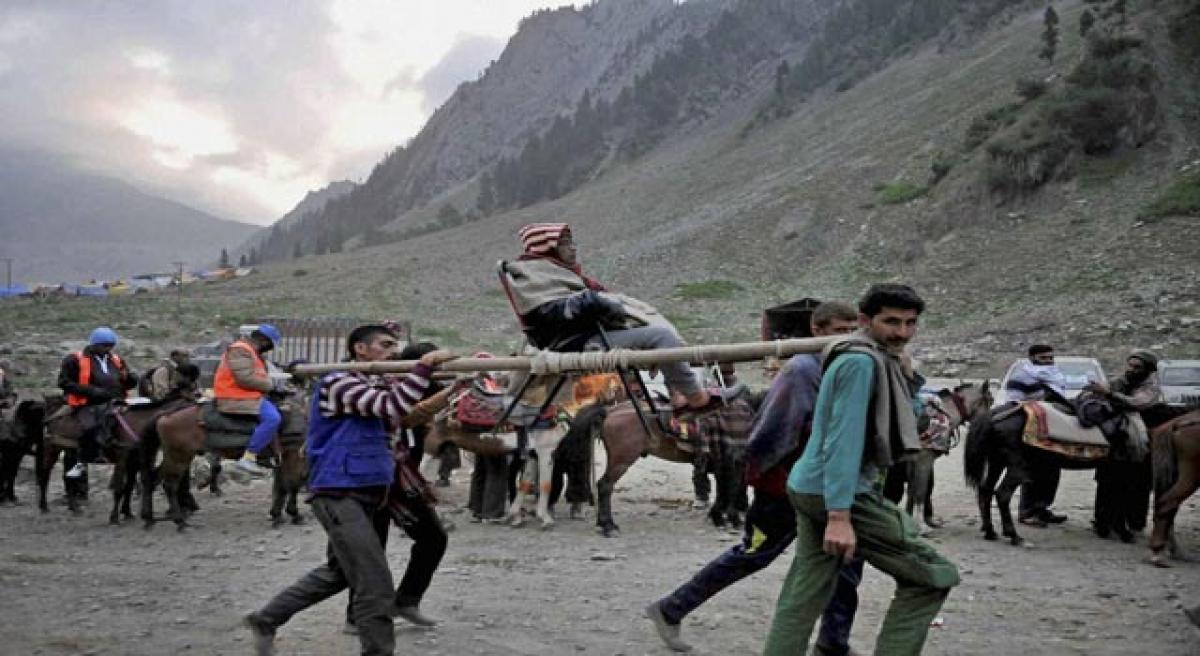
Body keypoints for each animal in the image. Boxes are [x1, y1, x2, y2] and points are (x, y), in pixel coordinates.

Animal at [137, 398, 307, 532]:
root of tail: (165, 415)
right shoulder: (293, 456)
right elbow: (293, 484)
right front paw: (294, 514)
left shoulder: (284, 459)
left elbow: (282, 486)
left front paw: (277, 514)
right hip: (179, 457)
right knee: (169, 486)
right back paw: (180, 522)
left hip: (174, 457)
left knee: (152, 479)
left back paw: (148, 519)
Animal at [595, 395, 753, 539]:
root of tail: (611, 411)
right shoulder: (733, 463)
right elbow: (732, 490)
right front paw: (733, 519)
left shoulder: (724, 464)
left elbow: (724, 491)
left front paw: (718, 517)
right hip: (621, 461)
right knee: (605, 486)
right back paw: (608, 525)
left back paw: (603, 523)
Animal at [883, 381, 993, 537]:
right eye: (991, 400)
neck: (943, 414)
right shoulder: (924, 461)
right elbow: (920, 492)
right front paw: (922, 527)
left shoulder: (912, 462)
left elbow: (911, 492)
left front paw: (909, 520)